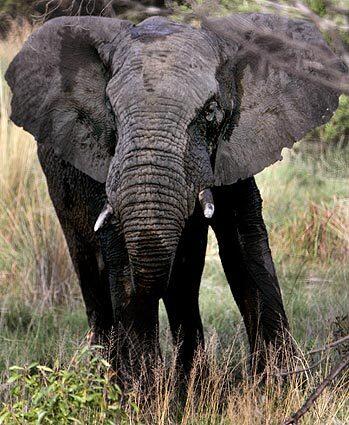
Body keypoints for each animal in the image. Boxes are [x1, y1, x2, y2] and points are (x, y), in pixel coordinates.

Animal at [6, 12, 346, 374]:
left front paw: (279, 381)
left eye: (210, 111)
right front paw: (143, 389)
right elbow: (121, 254)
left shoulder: (235, 150)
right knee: (93, 269)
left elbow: (245, 243)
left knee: (184, 276)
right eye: (111, 110)